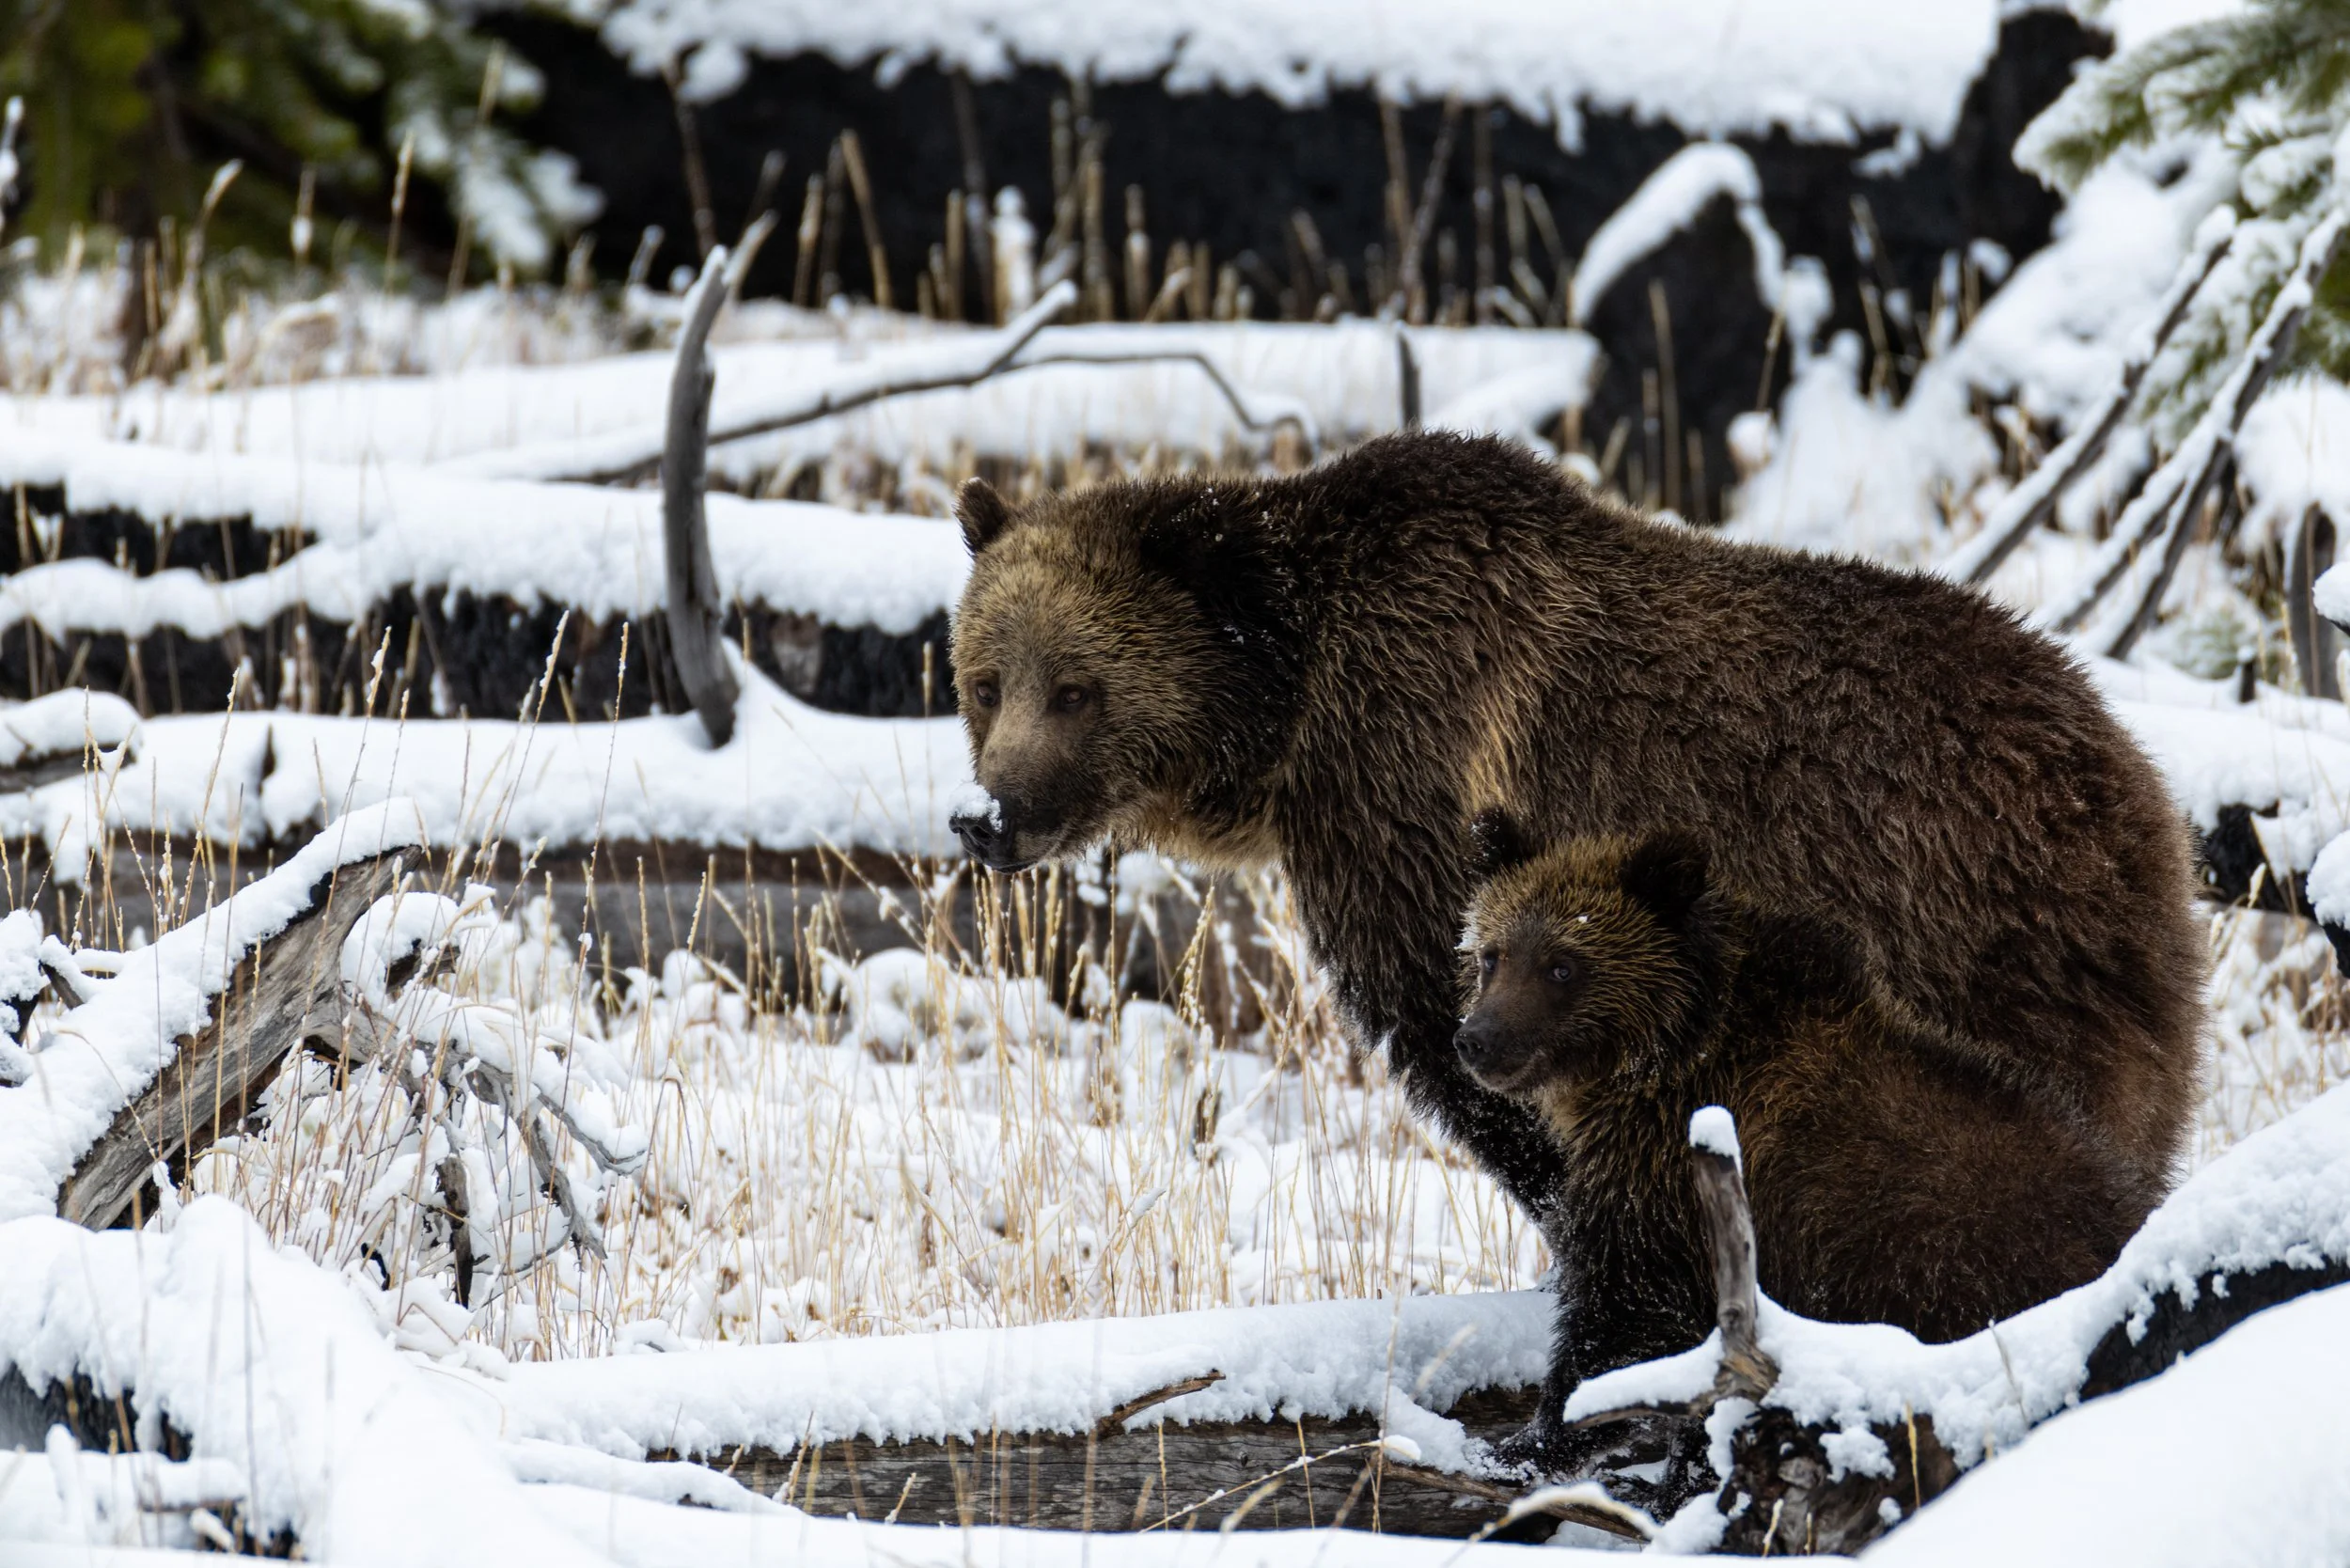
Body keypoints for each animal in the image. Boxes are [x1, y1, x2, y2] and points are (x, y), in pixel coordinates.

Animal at [1455, 817, 2145, 1465]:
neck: (1667, 1059)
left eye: (1562, 965)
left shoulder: (1667, 1187)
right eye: (1492, 955)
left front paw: (1526, 1443)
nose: (1476, 1039)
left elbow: (1623, 1323)